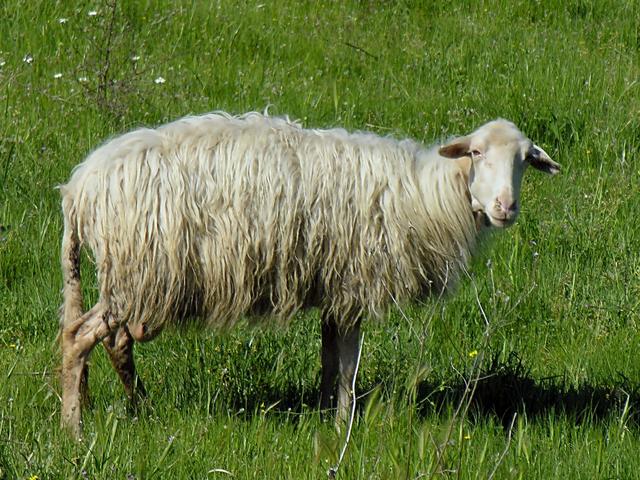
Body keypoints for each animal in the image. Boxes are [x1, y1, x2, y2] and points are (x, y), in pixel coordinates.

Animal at [59, 111, 560, 437]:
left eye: (524, 160)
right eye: (476, 152)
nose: (505, 207)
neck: (424, 197)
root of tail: (79, 187)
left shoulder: (336, 289)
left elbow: (329, 359)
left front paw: (322, 417)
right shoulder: (356, 285)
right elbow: (349, 367)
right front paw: (343, 426)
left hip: (135, 281)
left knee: (115, 342)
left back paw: (137, 408)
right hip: (138, 273)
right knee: (79, 338)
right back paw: (74, 427)